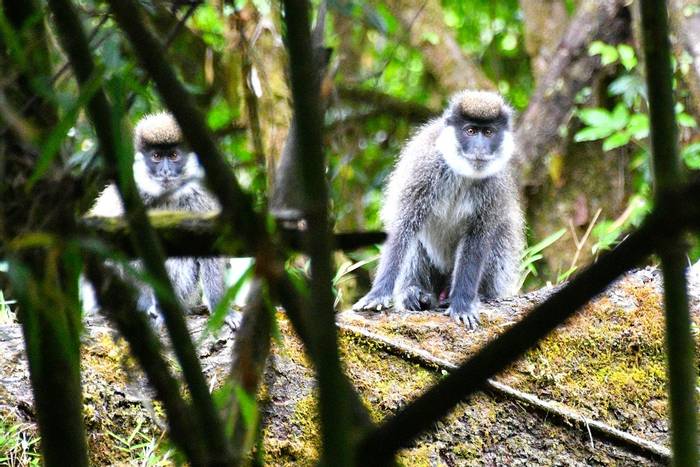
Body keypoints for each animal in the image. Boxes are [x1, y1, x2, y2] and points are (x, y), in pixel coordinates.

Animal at [352, 90, 524, 330]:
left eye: (488, 132)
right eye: (471, 131)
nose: (480, 148)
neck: (463, 171)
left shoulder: (493, 186)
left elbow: (478, 239)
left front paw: (462, 303)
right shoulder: (425, 169)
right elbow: (403, 226)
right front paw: (378, 294)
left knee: (500, 235)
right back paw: (413, 293)